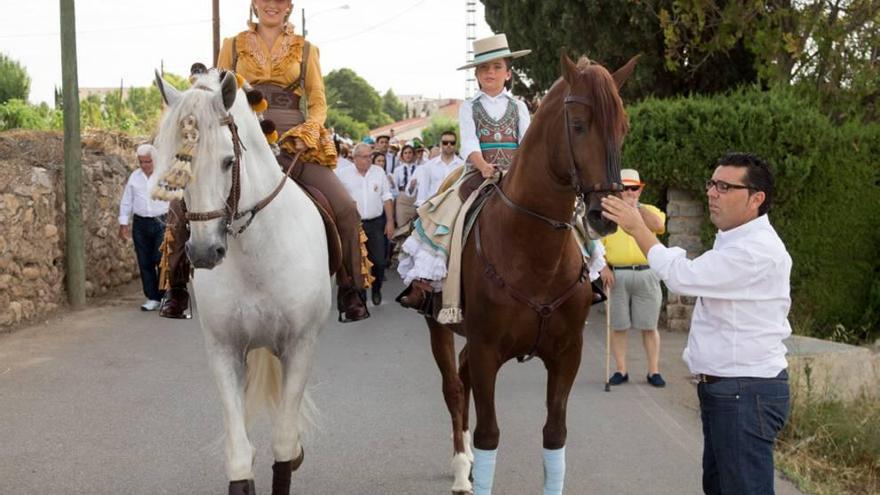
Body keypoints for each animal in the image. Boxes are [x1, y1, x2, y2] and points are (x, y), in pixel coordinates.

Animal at [153, 70, 332, 495]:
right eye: (178, 163)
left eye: (227, 161)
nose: (204, 252)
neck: (256, 252)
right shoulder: (224, 350)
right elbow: (239, 454)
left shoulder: (300, 346)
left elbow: (282, 443)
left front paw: (291, 453)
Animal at [428, 52, 640, 494]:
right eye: (577, 125)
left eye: (624, 126)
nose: (604, 216)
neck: (533, 251)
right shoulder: (488, 349)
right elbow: (489, 434)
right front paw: (473, 463)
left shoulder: (566, 353)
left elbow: (555, 434)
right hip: (438, 324)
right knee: (454, 388)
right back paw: (460, 467)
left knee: (462, 377)